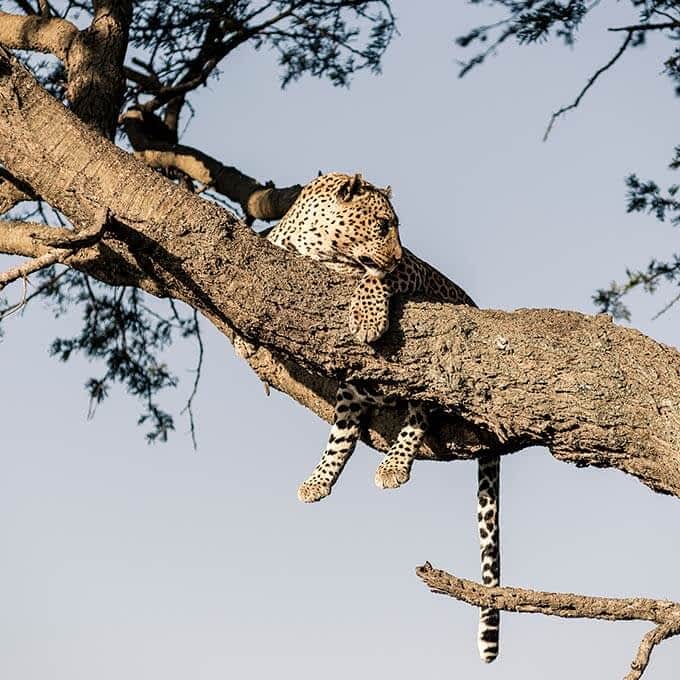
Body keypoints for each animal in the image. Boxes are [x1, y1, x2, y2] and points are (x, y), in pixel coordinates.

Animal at [260, 171, 500, 664]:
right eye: (383, 225)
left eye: (396, 228)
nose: (398, 253)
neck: (314, 249)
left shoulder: (410, 274)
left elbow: (373, 278)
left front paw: (368, 316)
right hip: (354, 391)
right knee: (343, 432)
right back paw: (318, 479)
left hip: (429, 374)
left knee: (419, 414)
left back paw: (394, 466)